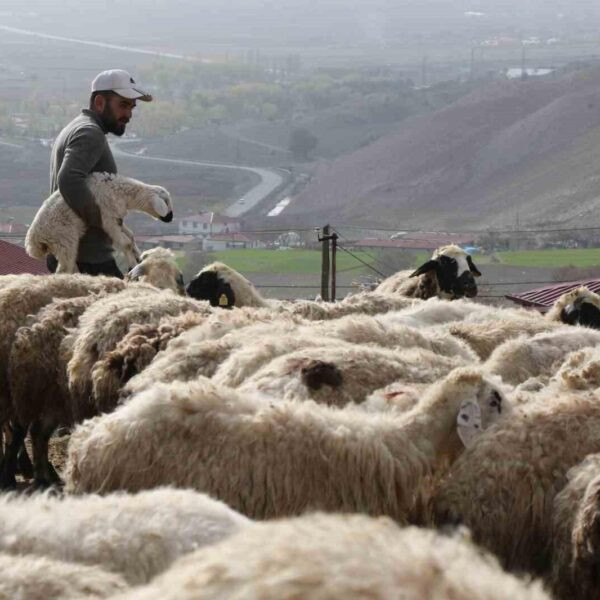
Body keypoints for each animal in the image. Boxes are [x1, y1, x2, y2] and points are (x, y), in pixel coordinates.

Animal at [27, 172, 175, 274]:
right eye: (166, 201)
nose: (170, 218)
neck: (121, 192)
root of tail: (33, 240)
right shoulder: (107, 219)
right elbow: (126, 243)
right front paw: (133, 265)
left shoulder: (117, 218)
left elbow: (131, 236)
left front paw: (139, 256)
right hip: (64, 239)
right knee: (63, 270)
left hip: (60, 245)